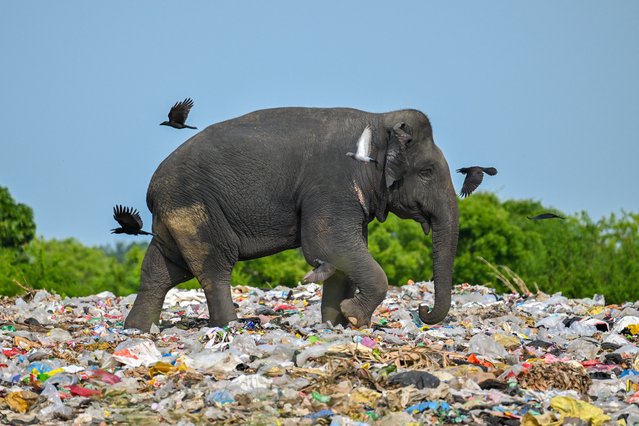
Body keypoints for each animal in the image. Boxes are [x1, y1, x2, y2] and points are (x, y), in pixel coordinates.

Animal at [122, 107, 458, 332]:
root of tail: (152, 188)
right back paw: (232, 325)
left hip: (176, 217)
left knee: (162, 269)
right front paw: (352, 316)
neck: (379, 121)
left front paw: (335, 324)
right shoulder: (331, 186)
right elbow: (328, 245)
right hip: (196, 208)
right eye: (427, 172)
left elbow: (341, 256)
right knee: (214, 266)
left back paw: (137, 329)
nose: (423, 310)